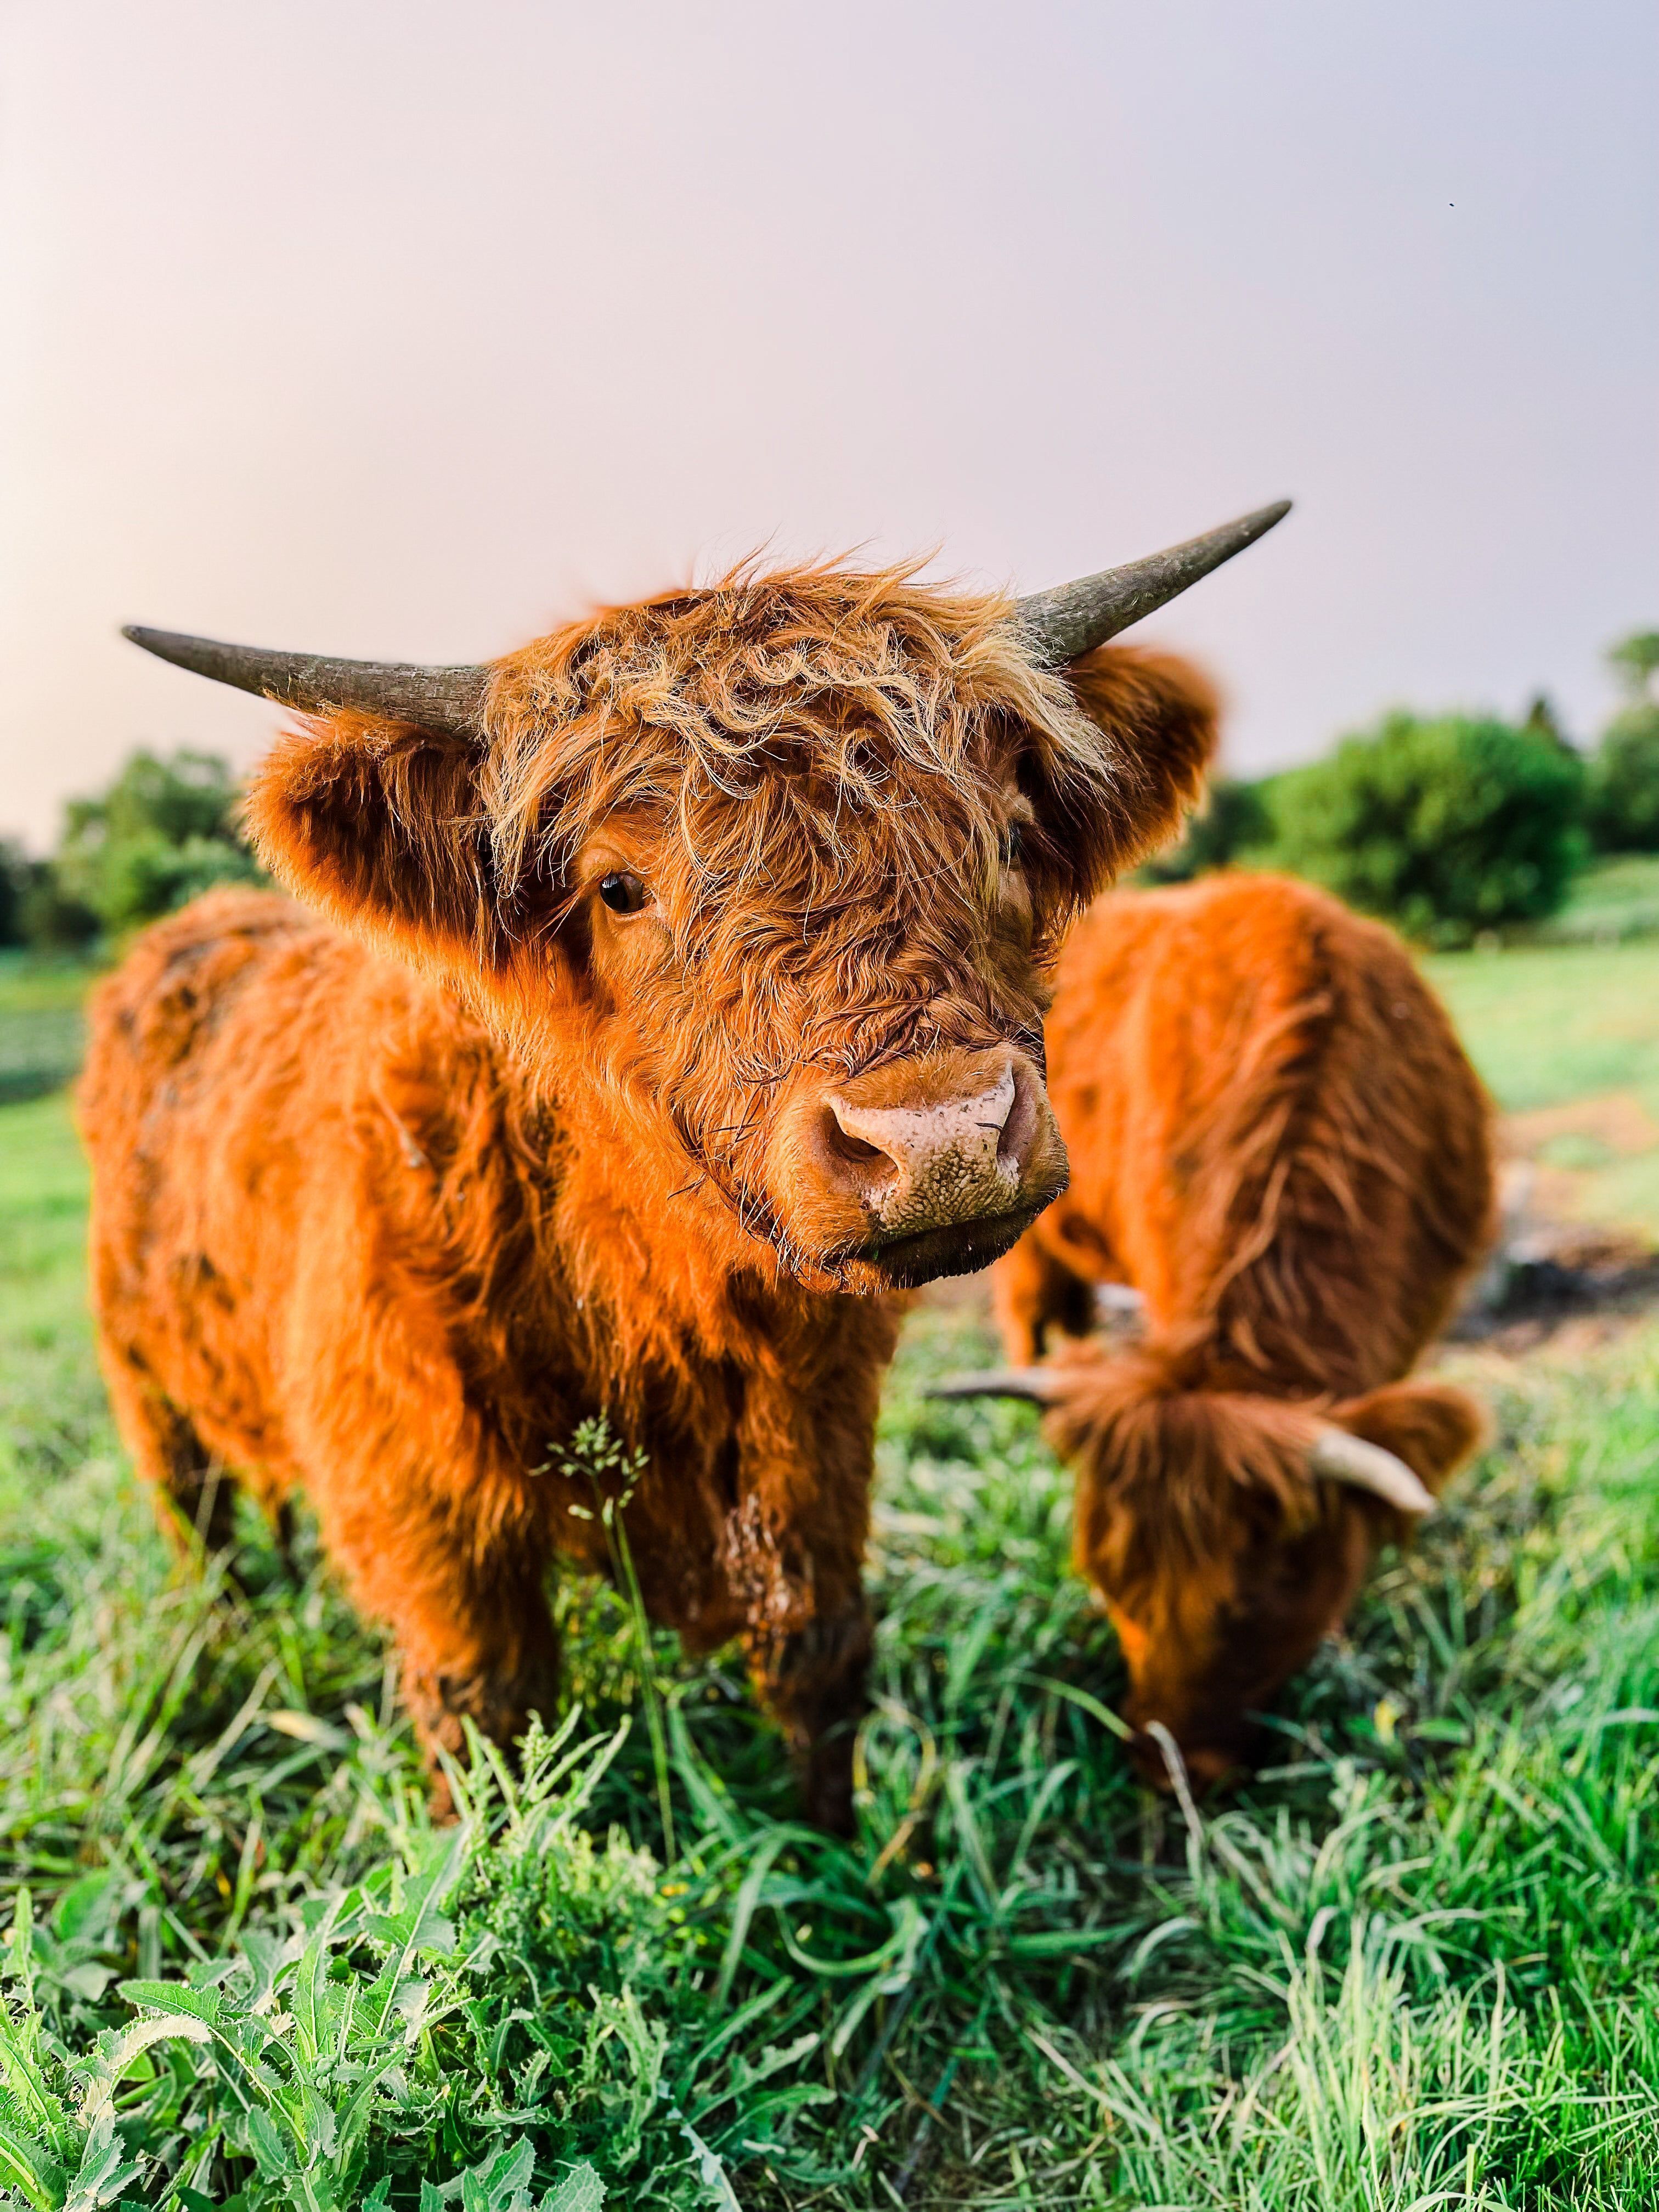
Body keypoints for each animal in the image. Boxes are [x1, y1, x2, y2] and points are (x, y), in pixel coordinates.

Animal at [80, 504, 1287, 1829]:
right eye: (617, 887)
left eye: (1010, 839)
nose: (941, 1140)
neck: (641, 1284)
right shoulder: (421, 1505)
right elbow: (485, 1711)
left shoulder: (813, 1438)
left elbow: (818, 1651)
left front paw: (835, 1852)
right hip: (146, 1383)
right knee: (198, 1521)